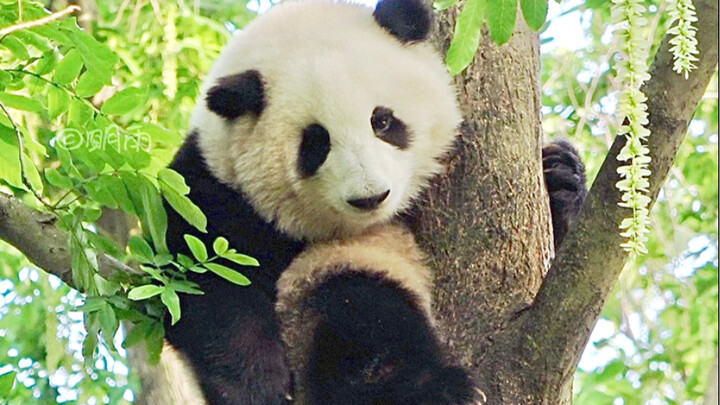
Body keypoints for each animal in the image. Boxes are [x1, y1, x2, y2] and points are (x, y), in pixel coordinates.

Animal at [162, 0, 588, 403]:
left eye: (382, 121)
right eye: (315, 143)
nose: (371, 196)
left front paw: (561, 177)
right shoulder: (215, 191)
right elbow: (203, 279)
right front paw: (258, 386)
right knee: (358, 310)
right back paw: (429, 390)